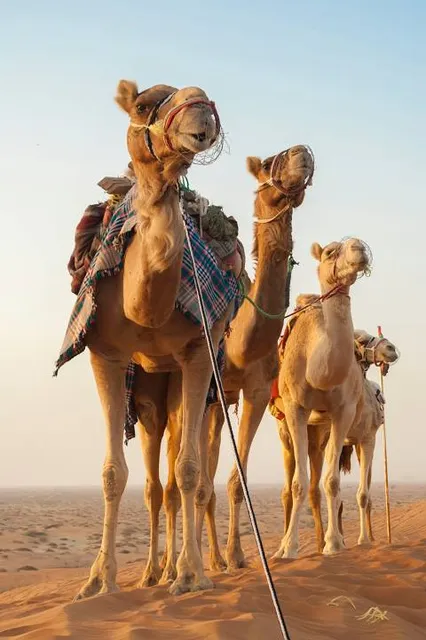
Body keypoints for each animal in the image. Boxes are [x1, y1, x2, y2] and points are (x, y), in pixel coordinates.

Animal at [56, 80, 238, 598]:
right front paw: (99, 579)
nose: (202, 118)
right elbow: (112, 473)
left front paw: (192, 573)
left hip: (177, 381)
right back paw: (153, 571)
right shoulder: (105, 353)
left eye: (207, 99)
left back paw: (173, 568)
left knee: (176, 477)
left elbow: (190, 471)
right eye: (142, 105)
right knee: (157, 484)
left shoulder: (198, 353)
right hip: (148, 392)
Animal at [131, 146, 315, 585]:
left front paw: (233, 557)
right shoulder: (209, 391)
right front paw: (189, 566)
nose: (301, 153)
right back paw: (160, 569)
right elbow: (198, 481)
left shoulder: (253, 390)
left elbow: (231, 482)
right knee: (166, 481)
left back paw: (207, 558)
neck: (239, 343)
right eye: (267, 164)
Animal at [271, 326, 399, 552]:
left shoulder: (365, 438)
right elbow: (352, 492)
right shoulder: (366, 437)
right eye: (362, 340)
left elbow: (360, 493)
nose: (391, 349)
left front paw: (358, 539)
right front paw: (356, 540)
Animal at [272, 237, 372, 559]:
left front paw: (333, 543)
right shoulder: (295, 407)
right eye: (330, 252)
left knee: (319, 479)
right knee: (290, 485)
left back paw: (320, 541)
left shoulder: (344, 411)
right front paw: (290, 548)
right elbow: (298, 484)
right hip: (285, 428)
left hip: (321, 431)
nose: (359, 248)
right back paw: (281, 547)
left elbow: (331, 481)